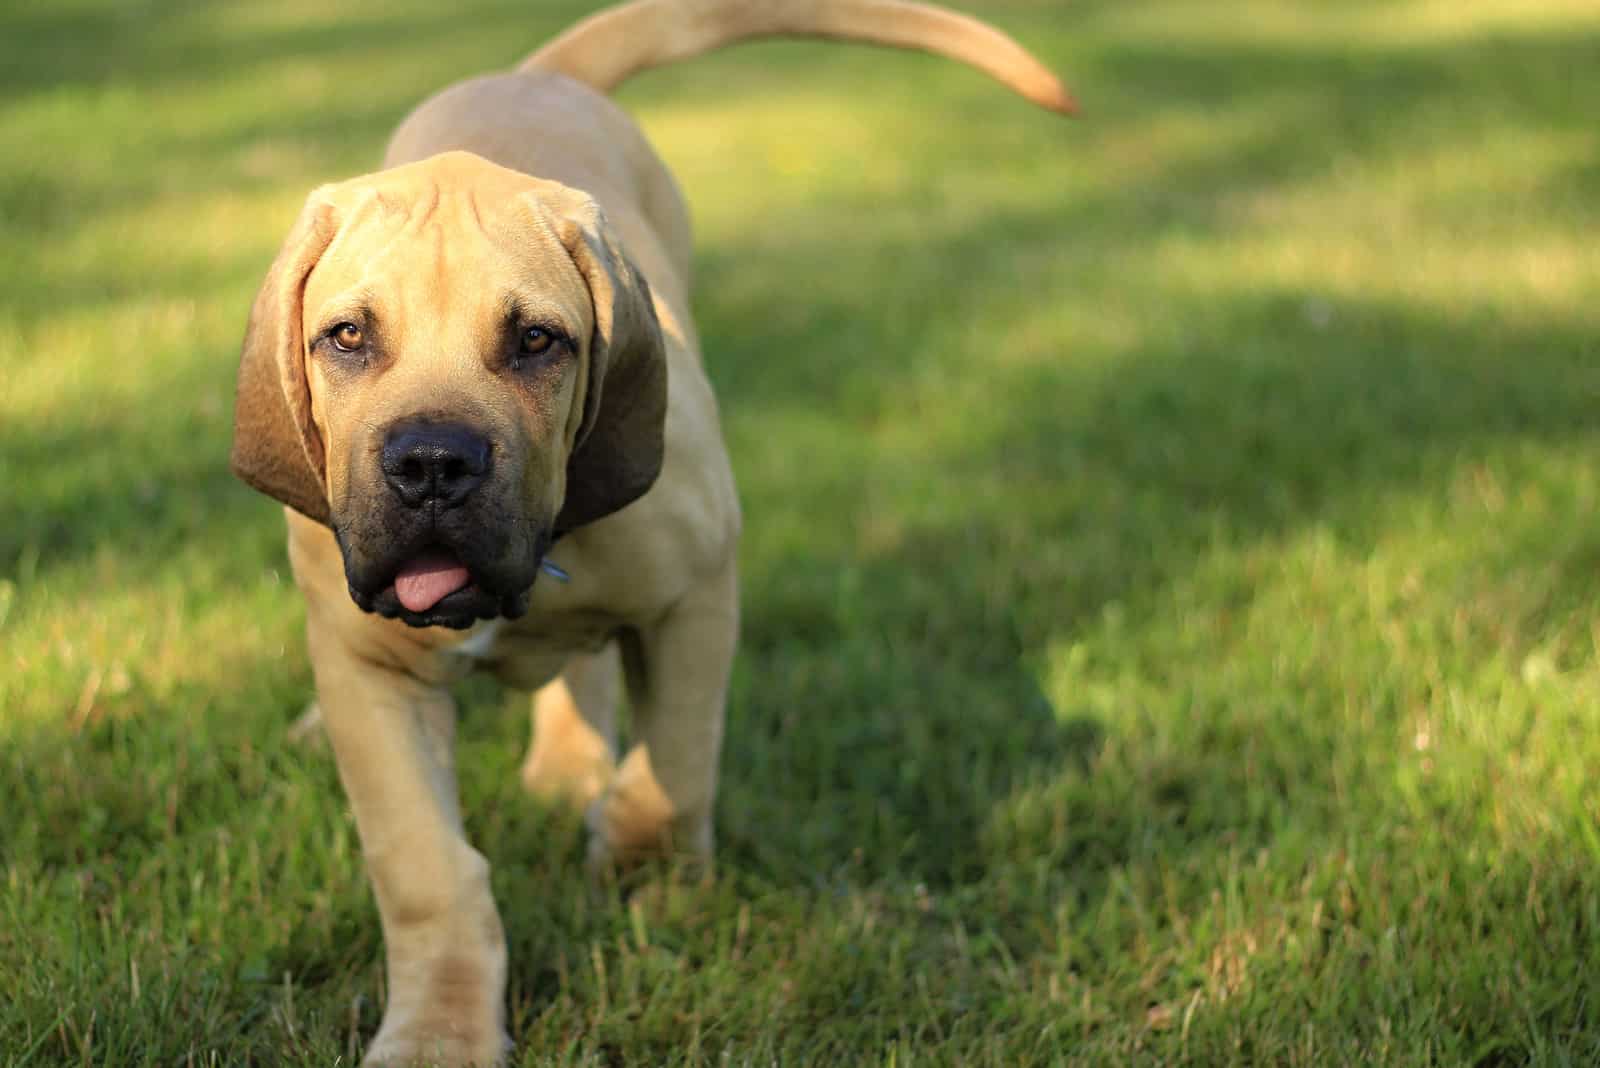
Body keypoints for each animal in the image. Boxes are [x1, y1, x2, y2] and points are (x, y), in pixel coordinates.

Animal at [228, 0, 1075, 1061]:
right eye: (348, 337)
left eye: (536, 341)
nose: (431, 465)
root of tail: (535, 75)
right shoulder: (370, 673)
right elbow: (428, 870)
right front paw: (439, 1030)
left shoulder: (697, 596)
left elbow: (676, 765)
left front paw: (651, 881)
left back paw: (571, 765)